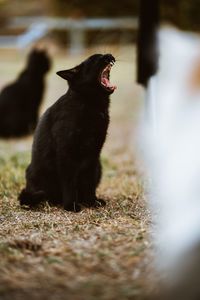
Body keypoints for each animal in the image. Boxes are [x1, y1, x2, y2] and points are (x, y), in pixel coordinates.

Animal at [18, 53, 116, 211]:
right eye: (95, 59)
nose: (109, 55)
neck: (90, 104)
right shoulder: (66, 152)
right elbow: (69, 182)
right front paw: (71, 205)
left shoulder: (93, 155)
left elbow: (89, 182)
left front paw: (91, 202)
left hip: (98, 167)